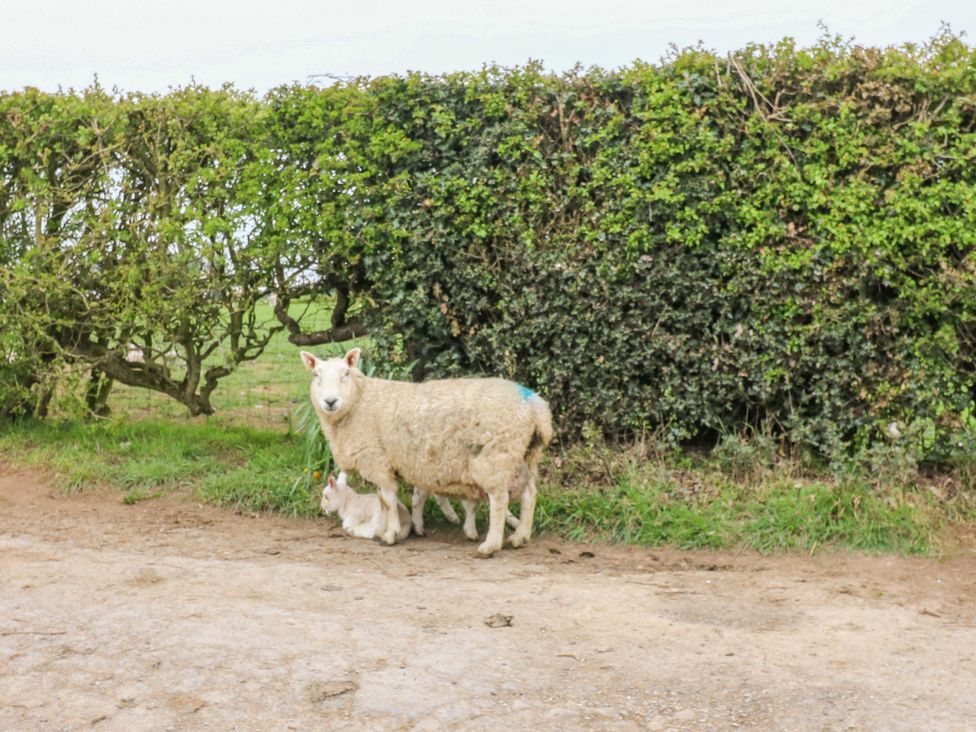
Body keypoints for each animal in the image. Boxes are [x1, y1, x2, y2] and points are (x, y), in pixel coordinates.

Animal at [301, 348, 553, 556]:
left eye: (346, 374)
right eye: (315, 375)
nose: (330, 401)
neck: (361, 402)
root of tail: (535, 406)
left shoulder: (377, 459)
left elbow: (388, 500)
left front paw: (390, 535)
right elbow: (390, 500)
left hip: (495, 457)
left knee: (499, 500)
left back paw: (489, 546)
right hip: (523, 455)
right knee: (529, 494)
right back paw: (520, 537)